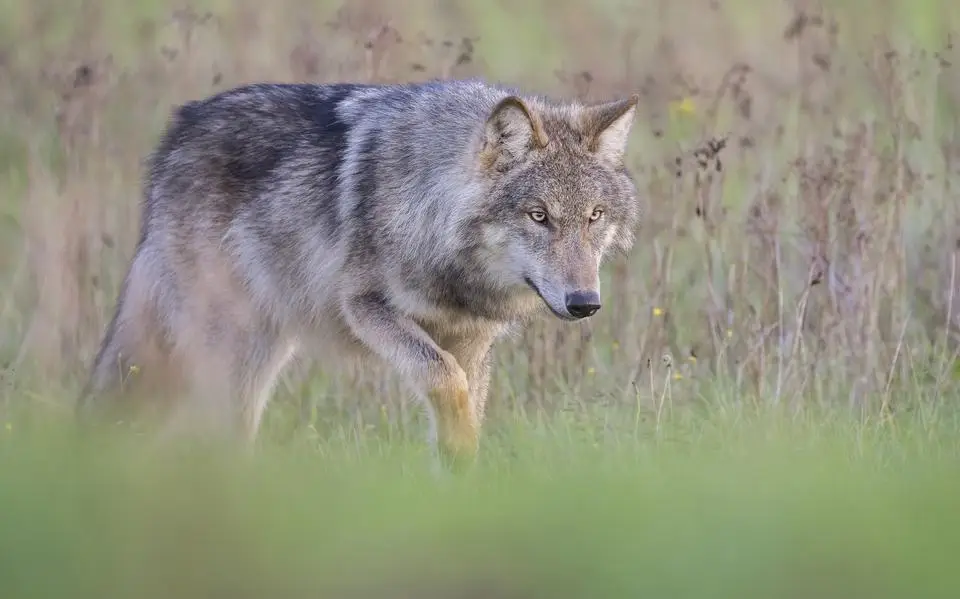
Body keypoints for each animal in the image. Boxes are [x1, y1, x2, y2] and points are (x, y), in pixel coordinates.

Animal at [77, 77, 642, 464]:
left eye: (594, 217)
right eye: (539, 216)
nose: (584, 303)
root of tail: (179, 130)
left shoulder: (473, 341)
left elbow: (464, 403)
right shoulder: (366, 309)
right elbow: (444, 378)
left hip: (260, 352)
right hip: (226, 354)